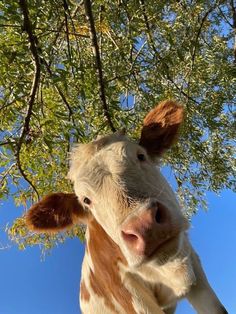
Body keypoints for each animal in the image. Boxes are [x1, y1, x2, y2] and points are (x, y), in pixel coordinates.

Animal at [24, 101, 227, 314]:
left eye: (141, 155)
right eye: (86, 200)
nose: (145, 226)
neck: (170, 271)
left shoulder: (194, 268)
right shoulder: (127, 294)